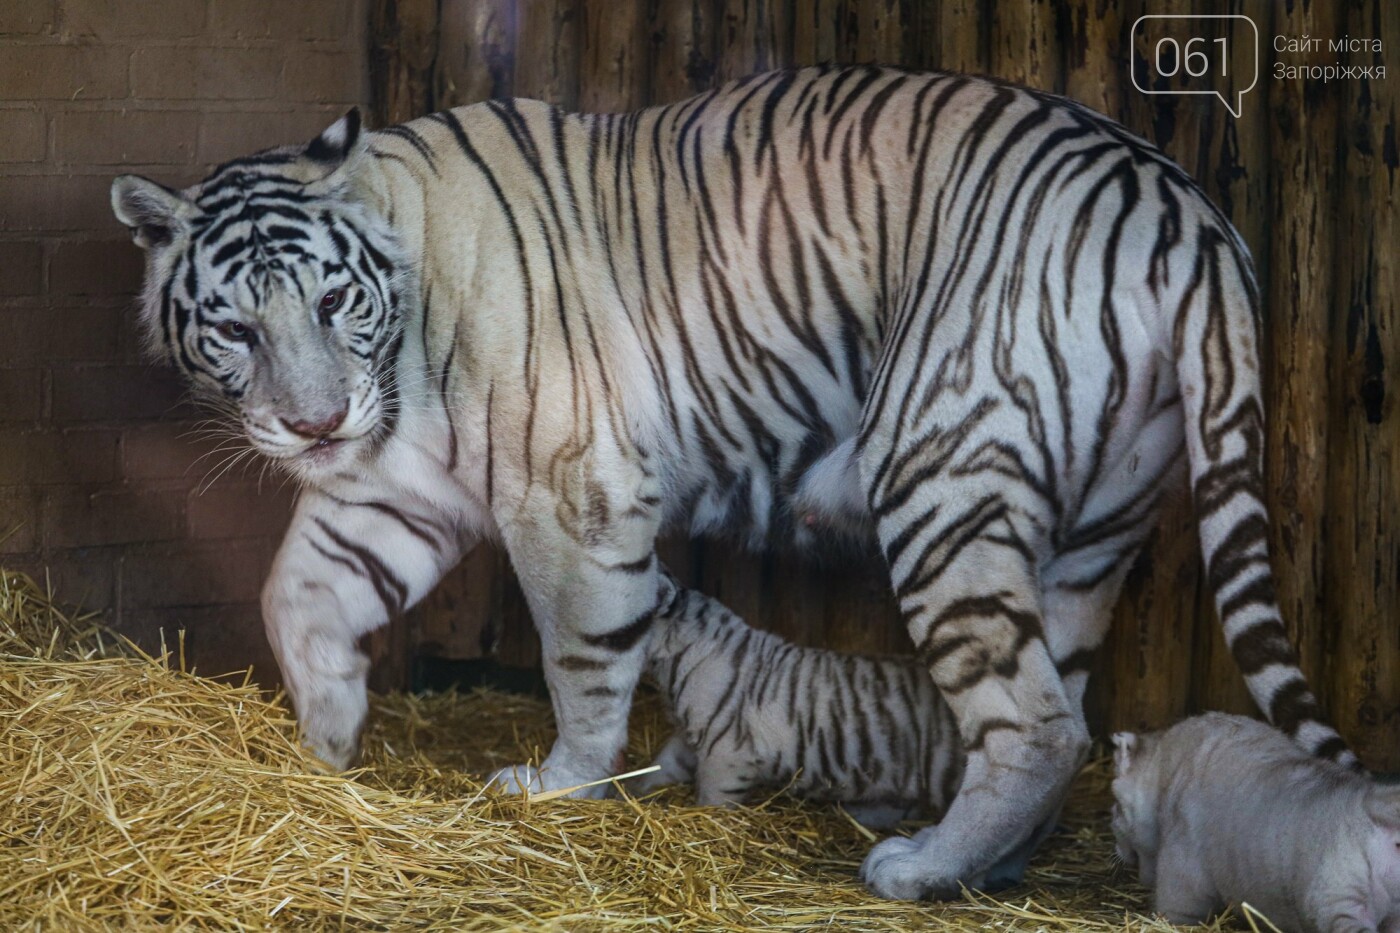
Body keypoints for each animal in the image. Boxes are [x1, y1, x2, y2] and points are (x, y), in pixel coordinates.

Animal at [112, 65, 1355, 896]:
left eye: (332, 303)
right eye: (234, 327)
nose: (312, 422)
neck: (399, 340)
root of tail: (1182, 208)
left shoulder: (569, 492)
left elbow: (581, 662)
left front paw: (558, 786)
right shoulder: (402, 484)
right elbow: (299, 588)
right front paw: (326, 740)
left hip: (939, 468)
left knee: (1038, 723)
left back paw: (914, 868)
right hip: (1095, 523)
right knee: (1061, 696)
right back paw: (989, 866)